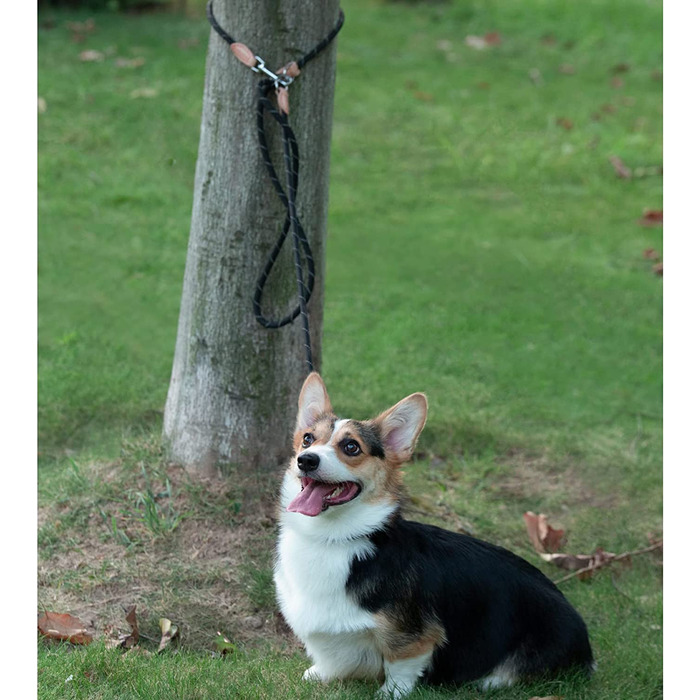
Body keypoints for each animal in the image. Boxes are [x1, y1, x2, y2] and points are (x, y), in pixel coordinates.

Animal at [276, 372, 592, 696]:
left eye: (351, 447)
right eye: (308, 439)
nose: (306, 460)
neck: (330, 538)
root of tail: (586, 644)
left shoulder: (413, 638)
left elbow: (400, 668)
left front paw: (389, 694)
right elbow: (330, 659)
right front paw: (318, 674)